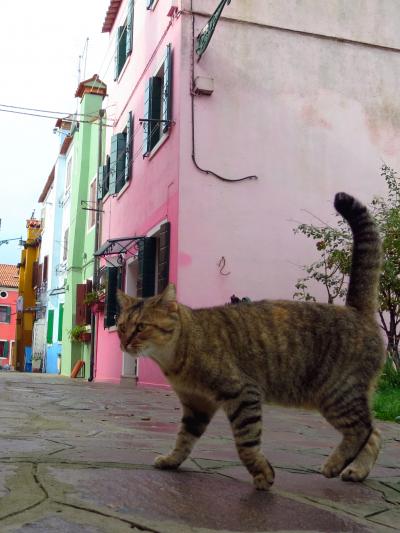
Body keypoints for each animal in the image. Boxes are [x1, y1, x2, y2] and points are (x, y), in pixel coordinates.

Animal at [116, 193, 384, 488]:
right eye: (121, 327)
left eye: (141, 327)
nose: (124, 343)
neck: (175, 357)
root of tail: (355, 310)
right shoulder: (196, 404)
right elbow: (184, 438)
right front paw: (171, 460)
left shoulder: (243, 391)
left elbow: (245, 442)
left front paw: (262, 473)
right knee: (374, 432)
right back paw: (356, 470)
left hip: (336, 393)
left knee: (363, 428)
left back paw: (335, 464)